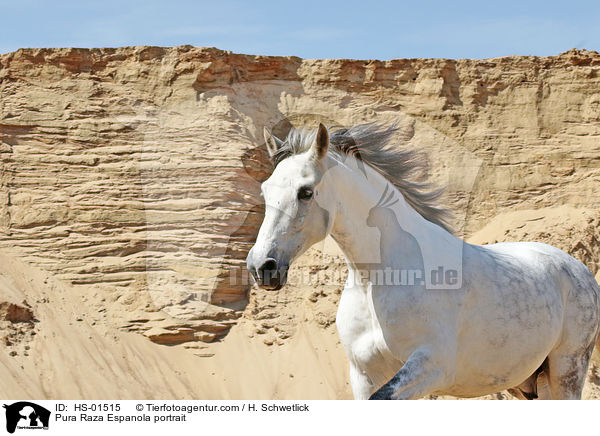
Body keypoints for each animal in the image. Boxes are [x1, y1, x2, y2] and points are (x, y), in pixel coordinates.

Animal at [245, 122, 600, 398]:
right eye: (265, 191)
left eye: (305, 192)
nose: (262, 268)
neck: (382, 278)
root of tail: (578, 269)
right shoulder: (363, 375)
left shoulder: (430, 368)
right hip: (526, 382)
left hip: (566, 371)